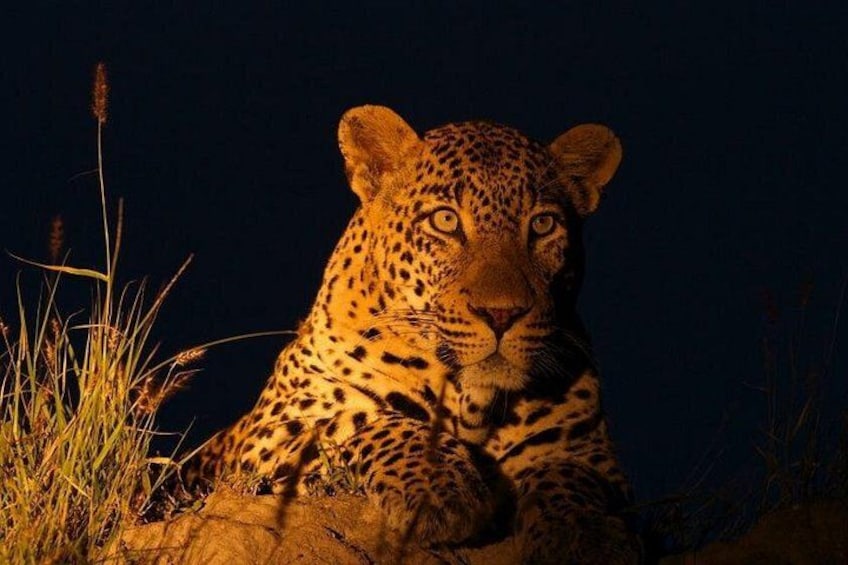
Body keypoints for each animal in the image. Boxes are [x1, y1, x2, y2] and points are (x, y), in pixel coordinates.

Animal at [188, 105, 641, 563]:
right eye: (445, 220)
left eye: (544, 225)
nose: (501, 313)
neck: (472, 401)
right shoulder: (276, 427)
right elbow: (367, 421)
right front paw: (437, 491)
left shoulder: (593, 454)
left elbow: (568, 475)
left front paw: (585, 535)